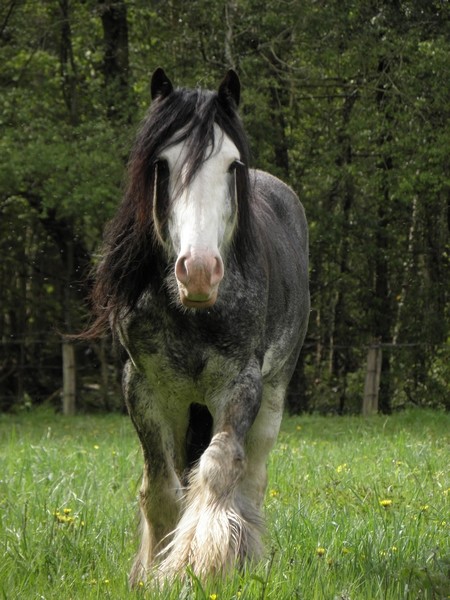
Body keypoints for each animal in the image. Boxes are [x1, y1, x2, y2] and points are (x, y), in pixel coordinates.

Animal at [89, 67, 312, 584]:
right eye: (162, 165)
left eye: (231, 166)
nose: (199, 271)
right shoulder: (144, 388)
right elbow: (160, 484)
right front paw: (152, 567)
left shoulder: (240, 385)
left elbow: (218, 466)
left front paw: (199, 561)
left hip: (273, 394)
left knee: (252, 477)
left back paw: (248, 554)